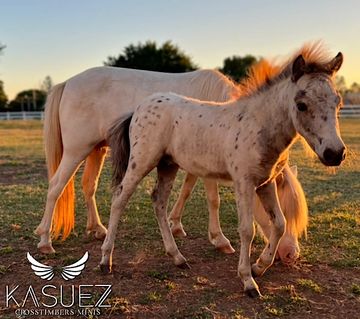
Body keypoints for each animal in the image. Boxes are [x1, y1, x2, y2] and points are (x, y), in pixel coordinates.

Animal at [35, 65, 306, 260]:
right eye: (284, 208)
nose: (291, 255)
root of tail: (67, 82)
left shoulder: (194, 162)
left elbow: (186, 190)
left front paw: (176, 225)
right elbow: (213, 200)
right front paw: (220, 240)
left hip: (96, 150)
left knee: (88, 186)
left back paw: (97, 228)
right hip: (75, 151)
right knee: (56, 187)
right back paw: (45, 240)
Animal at [102, 43, 344, 298]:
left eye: (338, 103)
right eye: (301, 105)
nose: (335, 153)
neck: (258, 125)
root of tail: (138, 108)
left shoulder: (265, 182)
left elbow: (278, 223)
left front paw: (259, 266)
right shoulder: (244, 182)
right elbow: (247, 229)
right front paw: (248, 280)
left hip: (168, 165)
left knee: (158, 201)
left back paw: (178, 257)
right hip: (142, 161)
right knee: (119, 198)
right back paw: (105, 260)